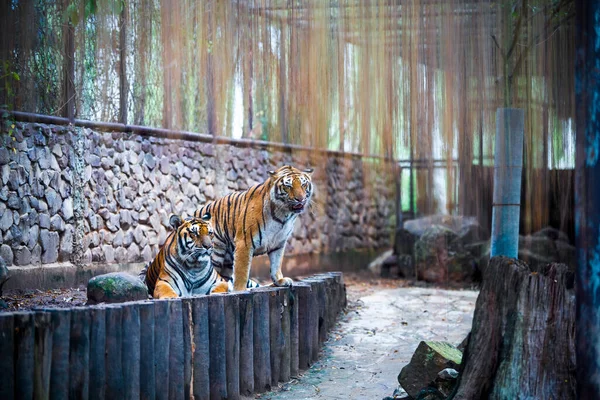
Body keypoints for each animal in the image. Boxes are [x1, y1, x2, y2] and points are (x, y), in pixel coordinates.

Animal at [195, 164, 314, 292]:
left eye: (303, 185)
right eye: (288, 186)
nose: (300, 199)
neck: (283, 215)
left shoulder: (278, 243)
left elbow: (276, 264)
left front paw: (279, 281)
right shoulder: (244, 242)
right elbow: (241, 271)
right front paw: (240, 290)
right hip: (215, 253)